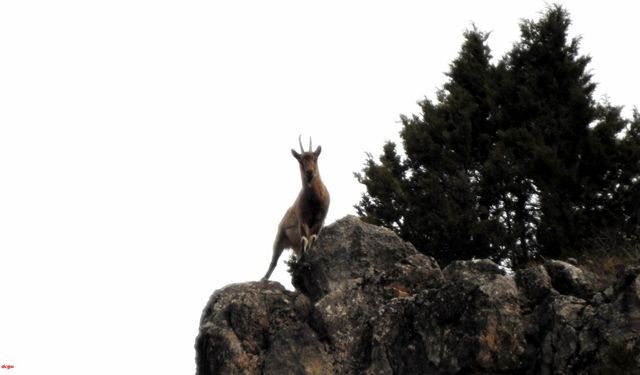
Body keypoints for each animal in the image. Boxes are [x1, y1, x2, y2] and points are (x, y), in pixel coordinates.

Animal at [262, 137, 330, 280]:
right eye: (300, 160)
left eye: (315, 158)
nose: (309, 172)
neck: (314, 201)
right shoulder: (302, 219)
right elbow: (305, 239)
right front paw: (304, 262)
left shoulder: (319, 220)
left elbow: (311, 239)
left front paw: (306, 261)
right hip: (280, 237)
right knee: (273, 262)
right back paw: (264, 278)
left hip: (293, 244)